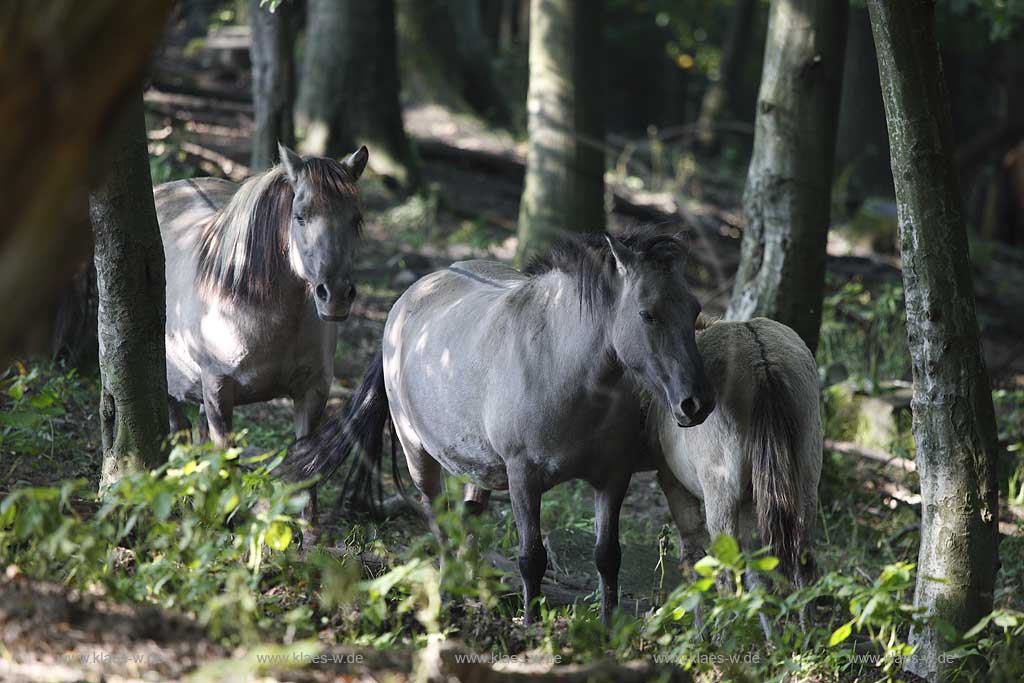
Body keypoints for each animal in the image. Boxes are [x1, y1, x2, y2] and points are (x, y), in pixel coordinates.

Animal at [153, 144, 370, 516]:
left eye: (355, 219)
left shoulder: (313, 391)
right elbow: (226, 462)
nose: (336, 295)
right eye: (300, 216)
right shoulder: (218, 389)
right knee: (180, 431)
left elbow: (305, 474)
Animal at [284, 229, 716, 626]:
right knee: (439, 521)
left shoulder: (612, 478)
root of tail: (408, 299)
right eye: (648, 313)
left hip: (481, 470)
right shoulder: (523, 476)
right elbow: (532, 558)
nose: (697, 402)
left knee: (469, 519)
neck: (561, 364)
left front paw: (609, 632)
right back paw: (448, 596)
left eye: (694, 310)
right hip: (418, 454)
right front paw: (530, 627)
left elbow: (608, 557)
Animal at [647, 315, 823, 634]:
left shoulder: (675, 486)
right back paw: (808, 637)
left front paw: (700, 633)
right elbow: (759, 574)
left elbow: (692, 558)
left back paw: (724, 637)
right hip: (805, 485)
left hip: (721, 496)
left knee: (726, 576)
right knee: (804, 562)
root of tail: (761, 361)